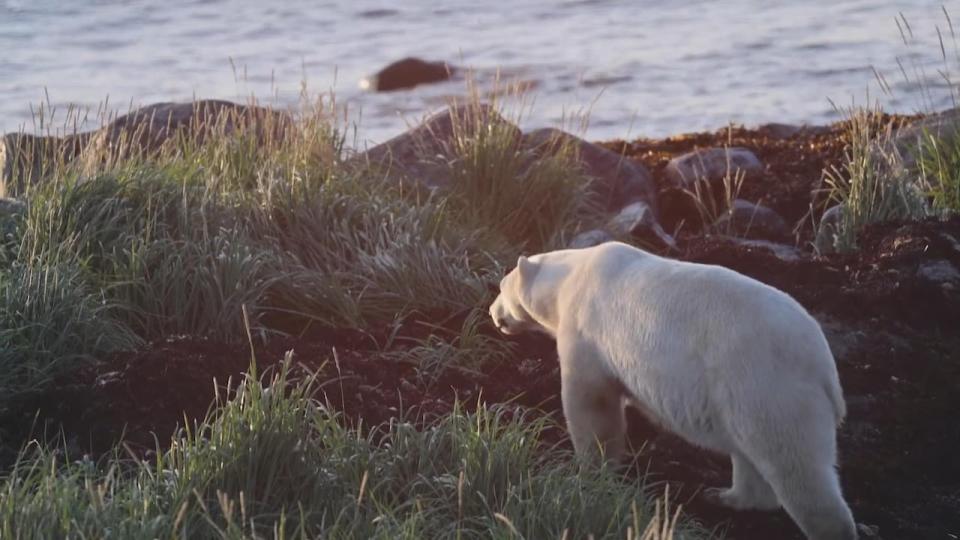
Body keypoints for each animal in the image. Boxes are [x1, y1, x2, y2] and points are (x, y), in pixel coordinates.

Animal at [492, 243, 860, 540]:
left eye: (500, 287)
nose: (492, 313)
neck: (570, 279)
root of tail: (824, 368)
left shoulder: (586, 331)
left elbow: (592, 405)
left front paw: (589, 471)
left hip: (767, 386)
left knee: (796, 467)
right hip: (741, 397)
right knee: (750, 455)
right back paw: (722, 496)